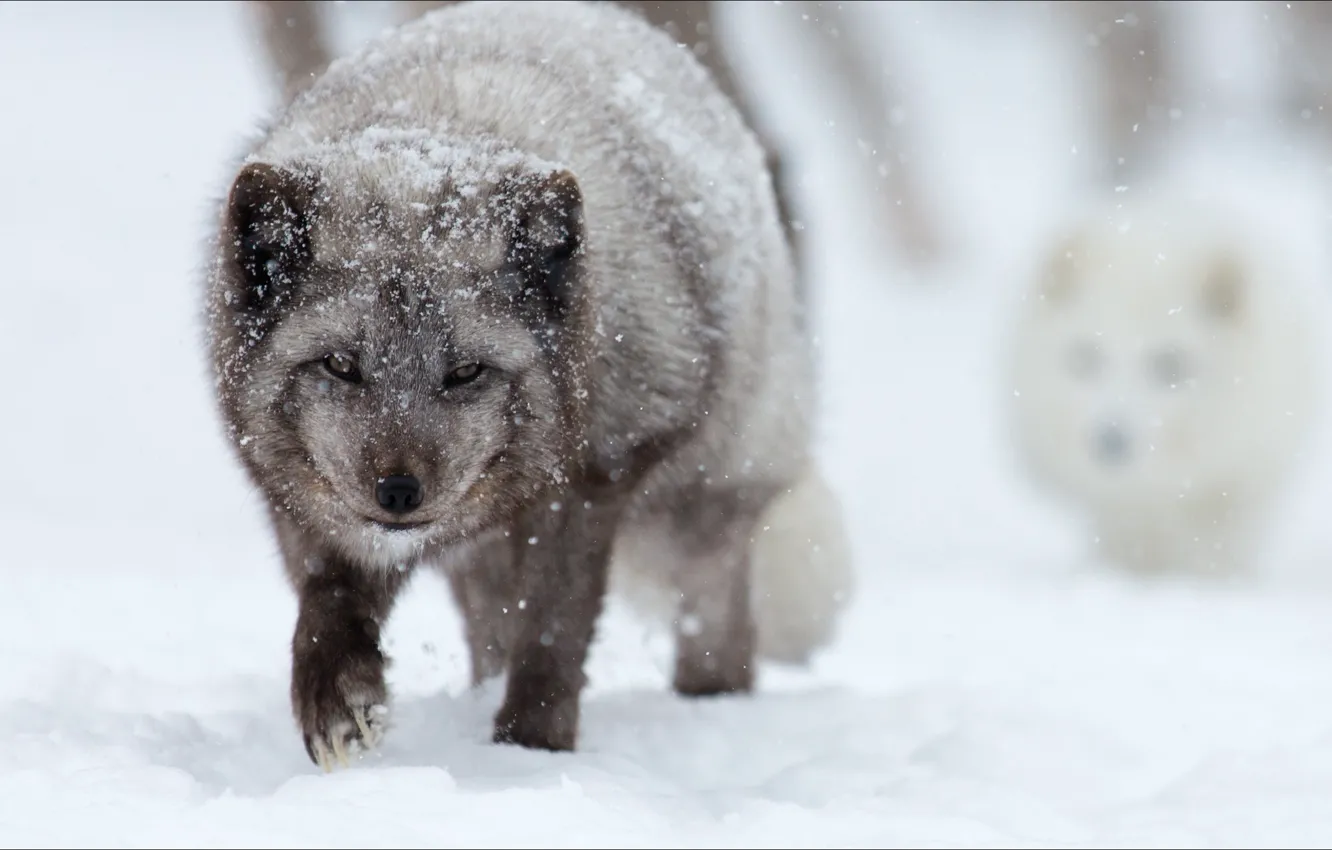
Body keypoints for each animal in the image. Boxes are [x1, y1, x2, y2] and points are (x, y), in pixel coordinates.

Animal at [205, 0, 853, 771]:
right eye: (339, 365)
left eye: (465, 372)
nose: (398, 493)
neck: (436, 126)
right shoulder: (306, 504)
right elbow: (327, 599)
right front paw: (337, 700)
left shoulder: (596, 477)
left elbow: (551, 633)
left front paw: (530, 751)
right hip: (485, 558)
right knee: (489, 629)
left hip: (707, 497)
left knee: (720, 624)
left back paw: (709, 706)